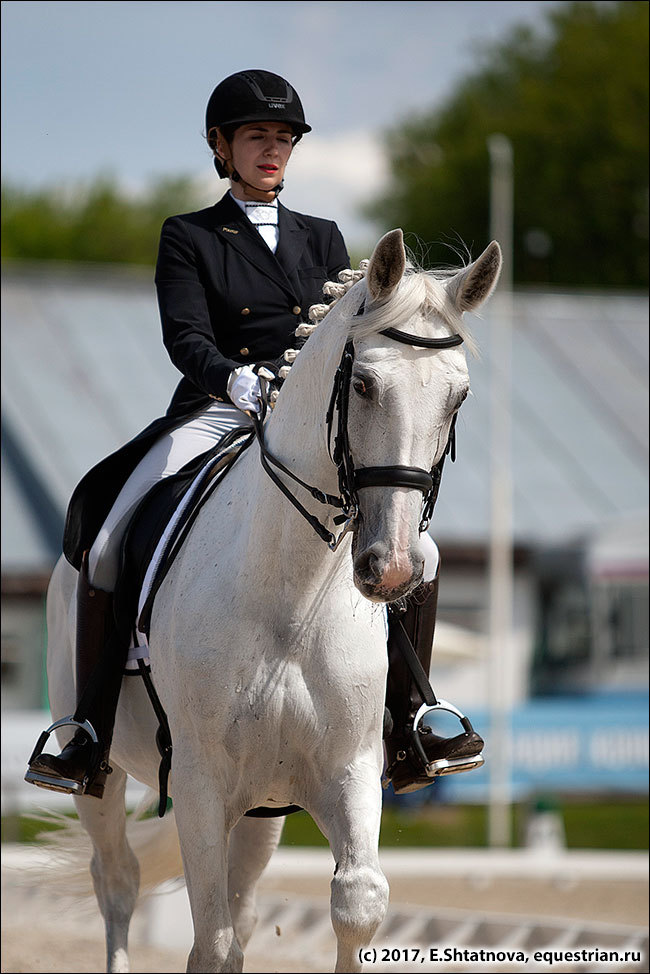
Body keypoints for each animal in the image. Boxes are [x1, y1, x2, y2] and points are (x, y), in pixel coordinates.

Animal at [44, 227, 502, 968]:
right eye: (364, 384)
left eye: (457, 399)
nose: (394, 569)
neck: (294, 594)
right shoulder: (200, 783)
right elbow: (209, 940)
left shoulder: (348, 768)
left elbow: (356, 903)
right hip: (104, 774)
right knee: (117, 882)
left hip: (262, 806)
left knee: (242, 911)